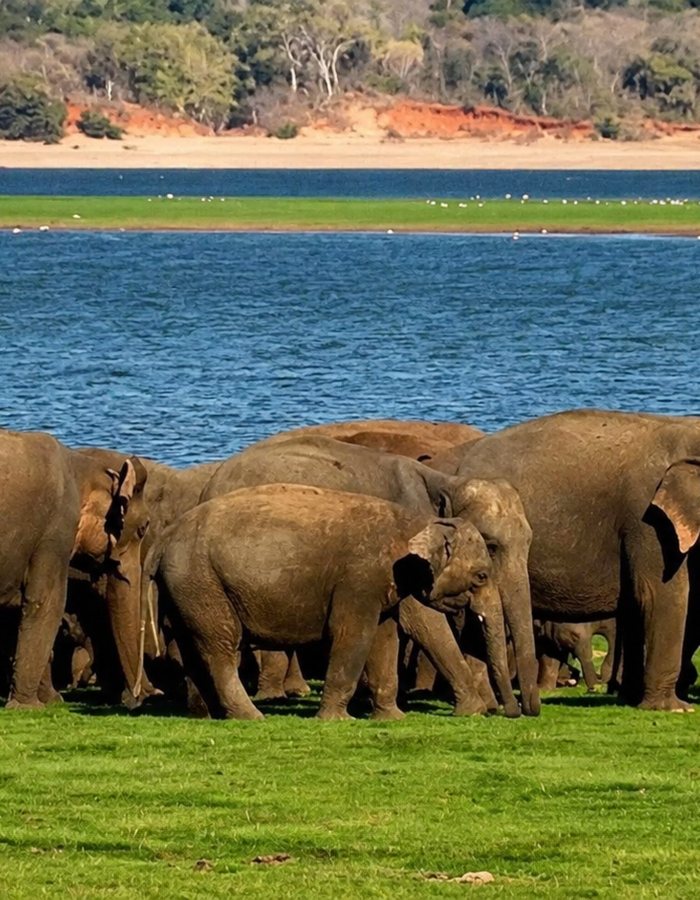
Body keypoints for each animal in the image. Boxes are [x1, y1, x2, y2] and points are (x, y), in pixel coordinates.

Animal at [0, 430, 148, 709]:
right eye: (143, 528)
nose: (135, 699)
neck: (81, 465)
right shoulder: (55, 531)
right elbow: (48, 603)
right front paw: (30, 706)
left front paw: (51, 700)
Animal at [145, 483, 494, 720]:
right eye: (481, 576)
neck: (415, 521)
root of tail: (162, 539)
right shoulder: (359, 577)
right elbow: (352, 635)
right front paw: (336, 720)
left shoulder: (383, 583)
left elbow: (384, 639)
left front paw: (392, 719)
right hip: (202, 582)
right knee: (220, 647)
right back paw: (253, 716)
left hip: (186, 589)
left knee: (192, 647)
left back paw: (210, 715)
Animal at [200, 434, 539, 717]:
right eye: (491, 546)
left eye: (529, 541)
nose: (516, 711)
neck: (445, 482)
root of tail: (208, 485)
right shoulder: (402, 553)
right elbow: (423, 620)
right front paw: (474, 709)